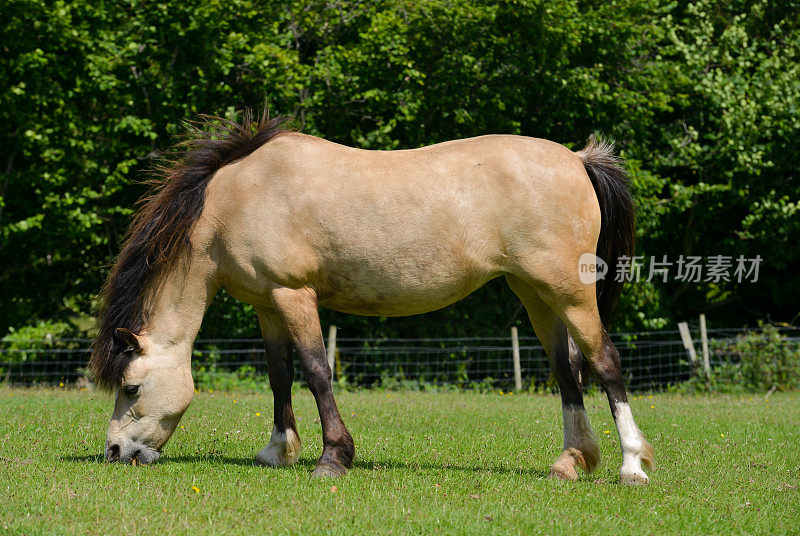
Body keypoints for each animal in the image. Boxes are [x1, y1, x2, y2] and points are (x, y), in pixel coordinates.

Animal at [92, 109, 656, 486]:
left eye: (132, 388)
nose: (115, 451)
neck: (235, 199)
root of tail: (578, 159)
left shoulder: (293, 294)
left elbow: (316, 371)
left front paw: (332, 458)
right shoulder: (266, 304)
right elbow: (279, 374)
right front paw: (278, 451)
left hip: (571, 293)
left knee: (605, 362)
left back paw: (631, 465)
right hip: (537, 294)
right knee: (567, 370)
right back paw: (571, 461)